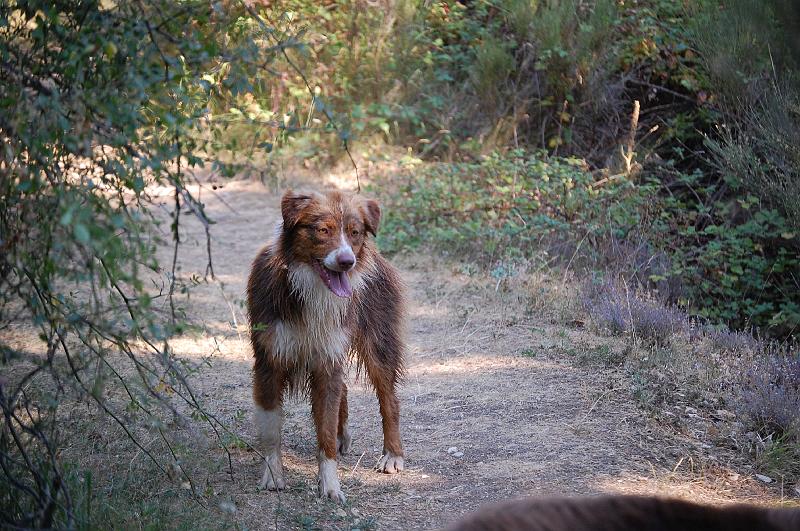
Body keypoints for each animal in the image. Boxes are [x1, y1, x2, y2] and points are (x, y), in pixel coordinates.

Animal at [245, 190, 406, 502]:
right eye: (323, 230)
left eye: (355, 233)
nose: (347, 261)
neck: (311, 290)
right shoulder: (270, 360)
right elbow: (271, 428)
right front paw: (273, 475)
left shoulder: (327, 360)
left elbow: (326, 432)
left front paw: (330, 486)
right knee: (345, 389)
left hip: (378, 344)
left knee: (389, 398)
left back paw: (393, 454)